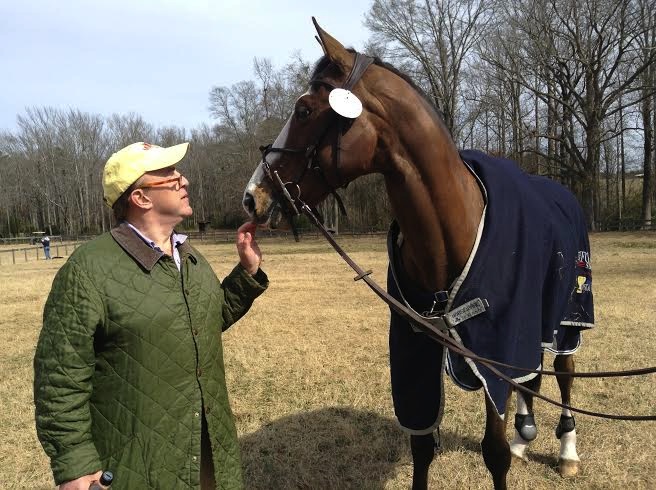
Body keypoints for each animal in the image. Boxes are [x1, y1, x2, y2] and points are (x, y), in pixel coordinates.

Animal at [243, 19, 594, 490]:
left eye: (304, 111)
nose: (253, 197)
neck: (449, 231)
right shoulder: (415, 348)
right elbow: (423, 444)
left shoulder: (493, 341)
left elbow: (494, 452)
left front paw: (517, 448)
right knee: (528, 375)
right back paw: (526, 436)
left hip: (568, 314)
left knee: (564, 373)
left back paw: (567, 451)